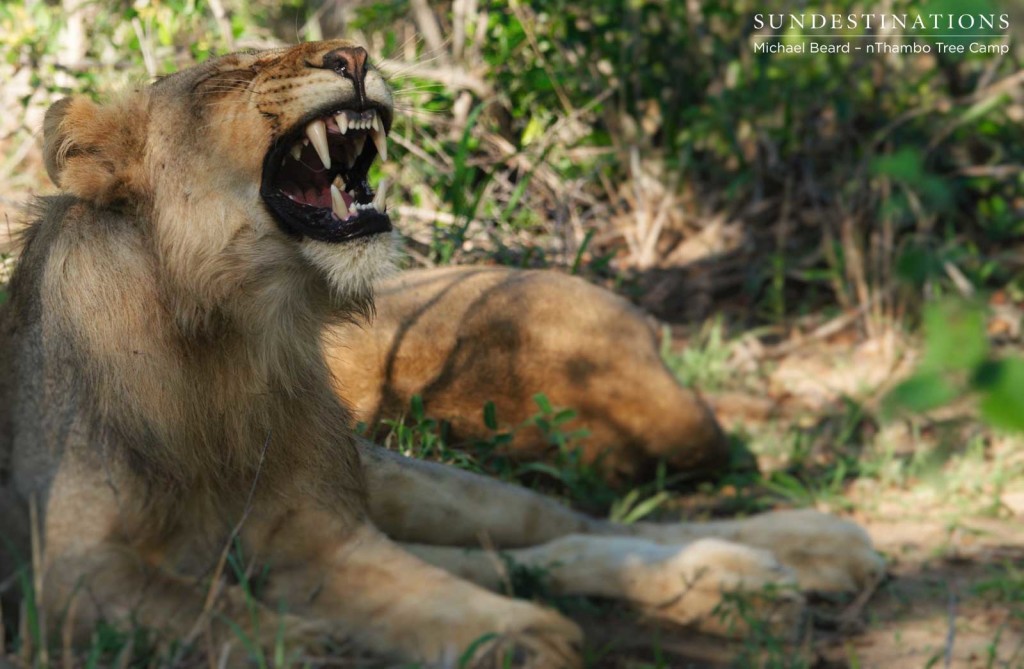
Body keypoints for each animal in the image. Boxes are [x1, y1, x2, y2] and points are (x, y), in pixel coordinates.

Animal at [0, 43, 880, 667]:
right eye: (231, 74)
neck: (234, 333)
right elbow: (233, 624)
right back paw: (747, 579)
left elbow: (417, 590)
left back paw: (794, 554)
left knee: (565, 526)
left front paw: (517, 640)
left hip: (407, 477)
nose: (354, 56)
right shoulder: (73, 573)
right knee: (525, 556)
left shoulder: (322, 530)